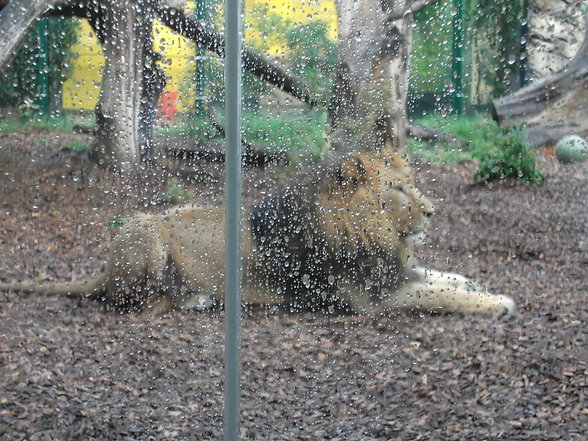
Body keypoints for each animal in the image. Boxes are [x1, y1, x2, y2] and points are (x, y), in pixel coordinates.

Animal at [0, 150, 516, 314]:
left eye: (413, 183)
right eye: (397, 190)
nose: (432, 211)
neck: (374, 235)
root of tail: (104, 269)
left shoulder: (392, 274)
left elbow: (440, 276)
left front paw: (473, 280)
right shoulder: (370, 299)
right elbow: (441, 294)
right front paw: (497, 302)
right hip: (145, 230)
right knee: (134, 302)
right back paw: (195, 298)